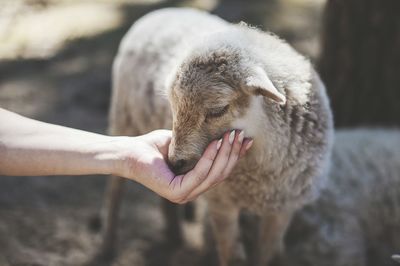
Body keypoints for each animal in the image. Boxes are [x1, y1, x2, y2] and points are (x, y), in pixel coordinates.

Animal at [101, 7, 332, 264]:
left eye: (217, 110)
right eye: (173, 105)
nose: (175, 163)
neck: (259, 173)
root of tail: (161, 11)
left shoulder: (283, 209)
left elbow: (265, 254)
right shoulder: (222, 204)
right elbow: (231, 255)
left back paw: (174, 235)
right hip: (122, 119)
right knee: (114, 190)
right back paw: (108, 246)